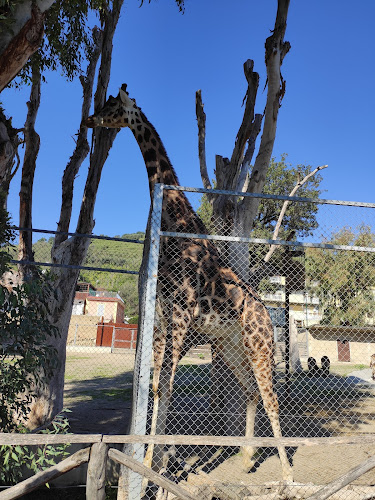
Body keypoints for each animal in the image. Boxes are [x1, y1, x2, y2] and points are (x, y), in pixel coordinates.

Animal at [86, 85, 296, 480]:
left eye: (111, 105)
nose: (90, 119)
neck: (175, 219)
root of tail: (267, 315)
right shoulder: (163, 312)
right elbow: (156, 386)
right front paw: (149, 462)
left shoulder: (182, 311)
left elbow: (166, 385)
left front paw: (154, 465)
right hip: (230, 346)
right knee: (249, 391)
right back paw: (247, 458)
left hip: (259, 346)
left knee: (271, 398)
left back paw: (289, 475)